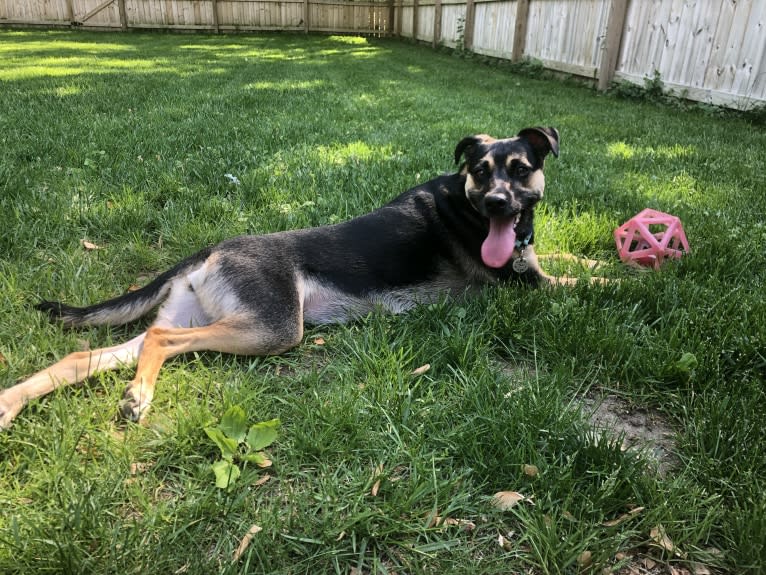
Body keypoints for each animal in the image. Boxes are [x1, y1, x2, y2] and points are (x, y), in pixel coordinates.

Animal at [0, 127, 584, 432]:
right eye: (482, 172)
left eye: (520, 168)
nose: (499, 204)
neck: (463, 202)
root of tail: (209, 250)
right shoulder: (528, 284)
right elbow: (589, 280)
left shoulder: (536, 262)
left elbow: (577, 258)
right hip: (274, 328)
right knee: (162, 339)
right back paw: (137, 397)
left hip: (202, 315)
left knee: (93, 352)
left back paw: (12, 402)